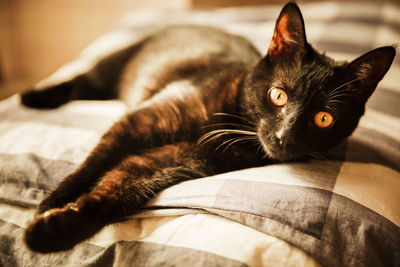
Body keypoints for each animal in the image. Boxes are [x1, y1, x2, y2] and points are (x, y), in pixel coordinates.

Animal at [21, 2, 394, 253]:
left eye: (323, 118)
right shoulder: (137, 125)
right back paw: (34, 97)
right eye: (278, 95)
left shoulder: (171, 160)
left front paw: (54, 230)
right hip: (112, 64)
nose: (284, 135)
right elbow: (91, 166)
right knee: (80, 82)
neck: (231, 122)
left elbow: (119, 190)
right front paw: (49, 203)